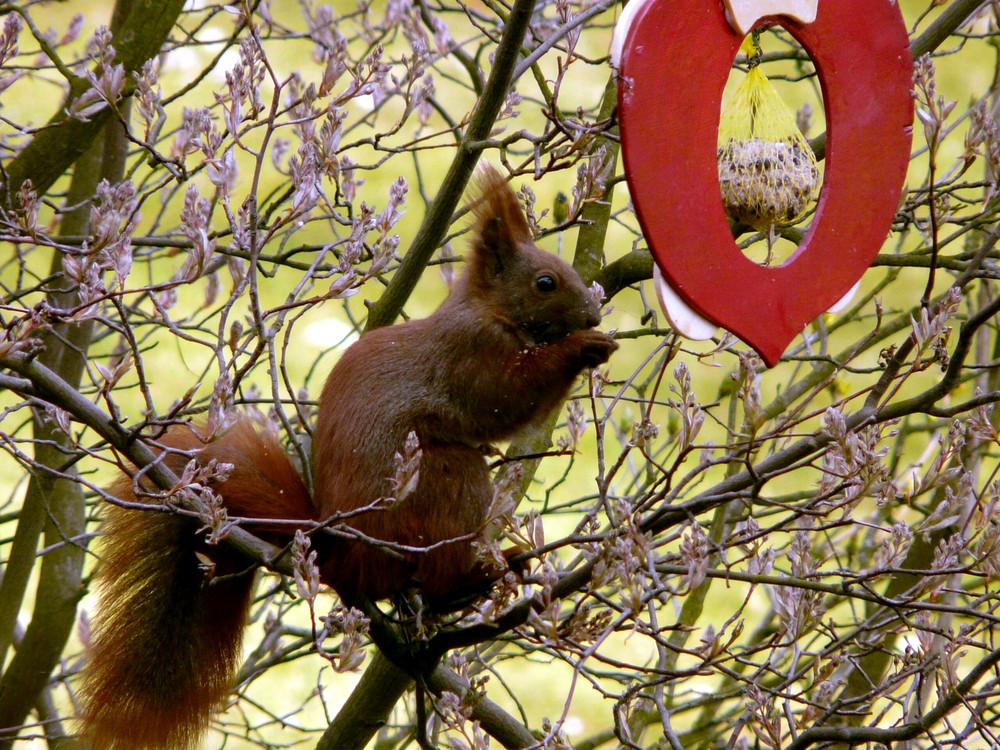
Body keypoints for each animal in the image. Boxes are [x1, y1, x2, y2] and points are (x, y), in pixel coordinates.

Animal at [80, 166, 616, 750]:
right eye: (545, 283)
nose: (593, 312)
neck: (487, 310)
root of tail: (342, 553)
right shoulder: (469, 356)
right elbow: (506, 397)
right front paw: (583, 347)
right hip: (443, 482)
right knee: (439, 566)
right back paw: (474, 577)